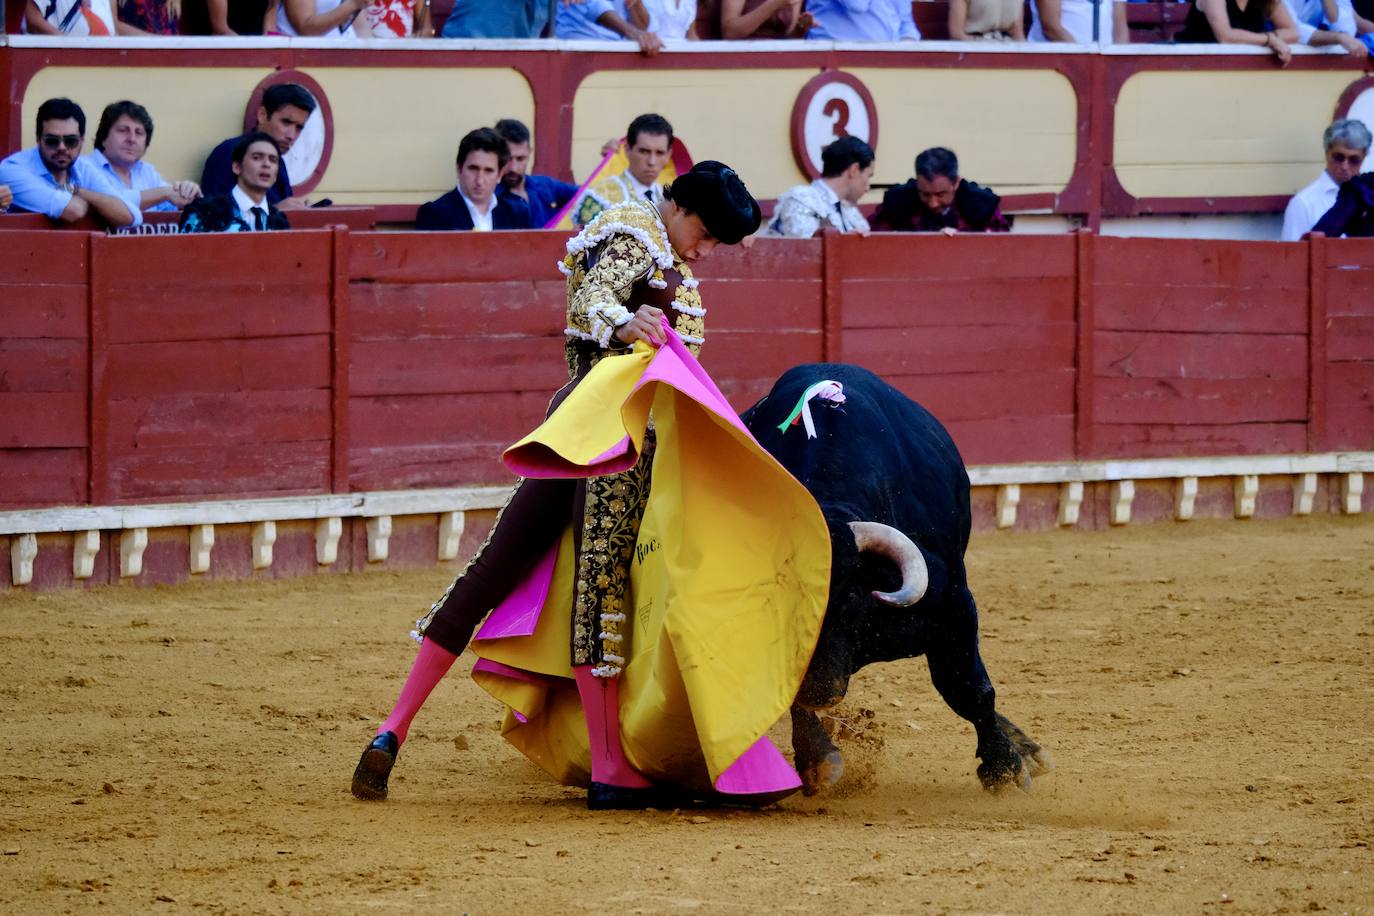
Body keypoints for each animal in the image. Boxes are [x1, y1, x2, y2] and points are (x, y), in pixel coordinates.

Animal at [741, 365, 1049, 796]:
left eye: (851, 598)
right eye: (782, 602)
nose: (820, 690)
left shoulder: (953, 607)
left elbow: (968, 688)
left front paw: (1002, 768)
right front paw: (817, 760)